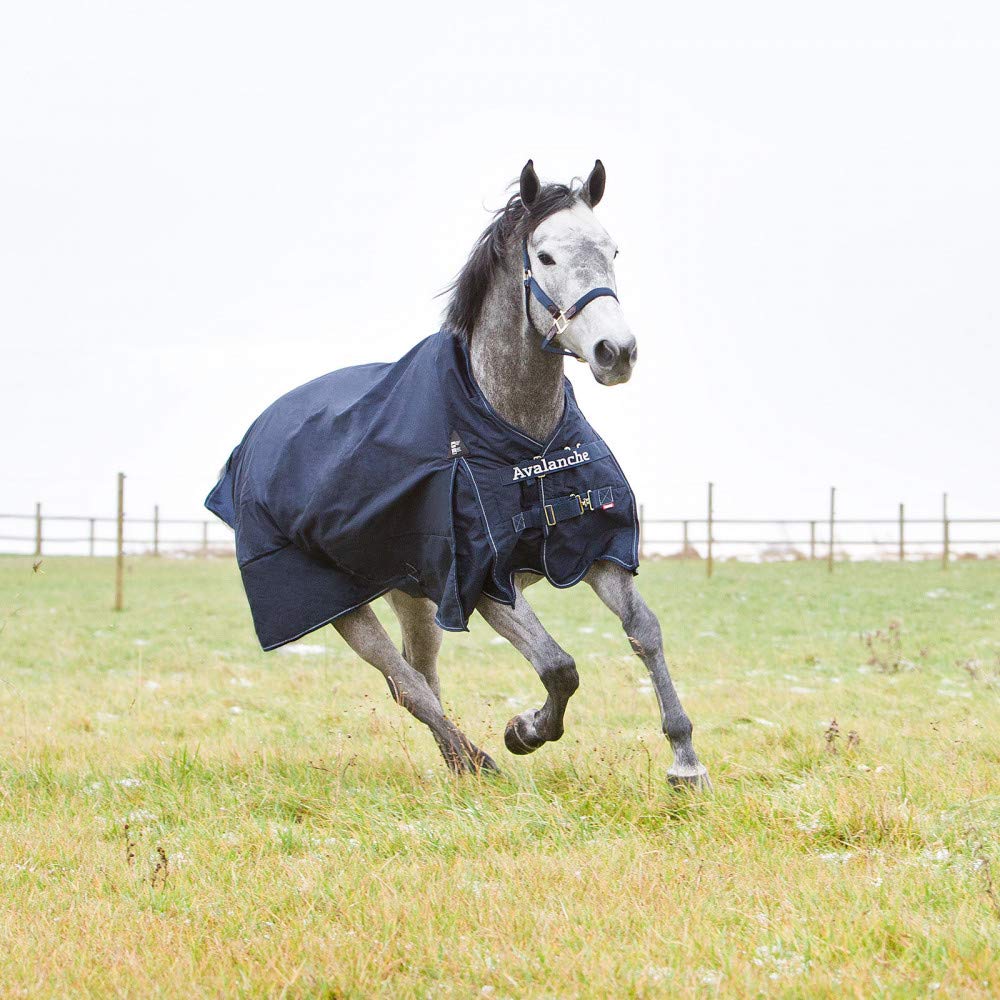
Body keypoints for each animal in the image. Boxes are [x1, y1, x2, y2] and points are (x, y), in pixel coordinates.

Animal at [207, 160, 709, 790]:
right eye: (545, 256)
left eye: (612, 250)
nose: (615, 352)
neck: (514, 431)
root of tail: (255, 437)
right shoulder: (482, 581)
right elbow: (559, 666)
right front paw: (525, 731)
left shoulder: (589, 547)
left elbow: (645, 630)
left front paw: (685, 760)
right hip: (342, 607)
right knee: (407, 685)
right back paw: (478, 761)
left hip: (410, 595)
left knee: (418, 676)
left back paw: (457, 764)